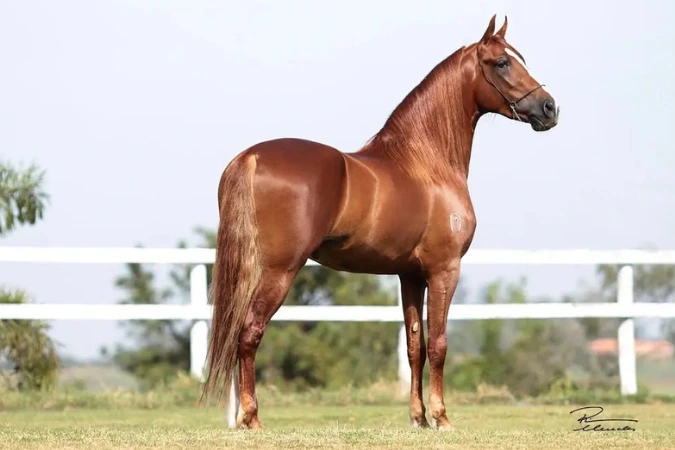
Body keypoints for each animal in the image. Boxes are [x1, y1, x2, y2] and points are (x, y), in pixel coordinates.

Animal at [202, 14, 559, 431]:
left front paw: (419, 418)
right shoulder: (444, 270)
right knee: (249, 332)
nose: (550, 108)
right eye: (502, 63)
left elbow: (415, 346)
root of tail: (250, 157)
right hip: (279, 270)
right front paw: (442, 417)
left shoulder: (411, 275)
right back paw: (251, 418)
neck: (426, 163)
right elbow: (440, 344)